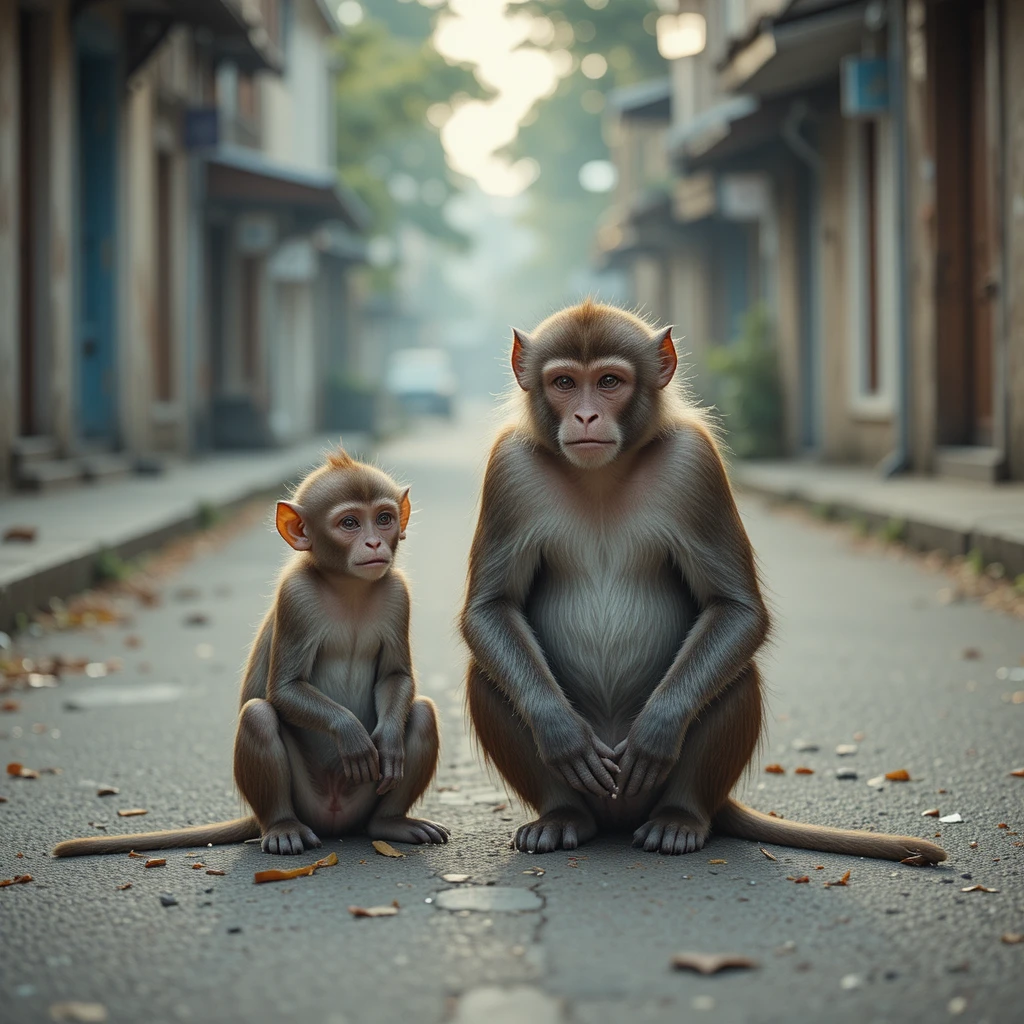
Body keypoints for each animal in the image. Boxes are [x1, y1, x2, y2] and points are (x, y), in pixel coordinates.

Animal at [54, 447, 449, 857]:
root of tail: (335, 820)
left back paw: (390, 822)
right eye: (350, 523)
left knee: (422, 713)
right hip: (304, 802)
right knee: (259, 717)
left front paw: (388, 741)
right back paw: (283, 827)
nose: (374, 544)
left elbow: (395, 676)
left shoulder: (397, 593)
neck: (348, 587)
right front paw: (350, 732)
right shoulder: (296, 596)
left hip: (363, 801)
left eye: (384, 519)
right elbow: (284, 689)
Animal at [460, 299, 945, 864]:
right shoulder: (508, 468)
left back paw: (681, 817)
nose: (584, 416)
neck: (601, 474)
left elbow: (735, 608)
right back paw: (563, 816)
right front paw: (562, 734)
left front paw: (658, 730)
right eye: (563, 382)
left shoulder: (696, 462)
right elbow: (491, 608)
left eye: (608, 381)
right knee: (486, 675)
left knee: (736, 675)